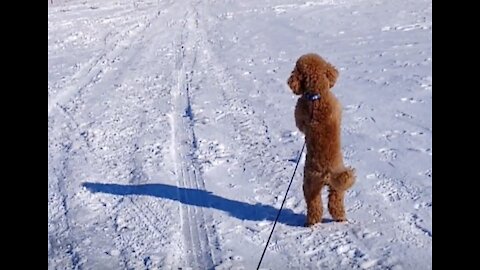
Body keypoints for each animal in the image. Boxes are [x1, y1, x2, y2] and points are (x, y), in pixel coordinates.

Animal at [286, 52, 354, 226]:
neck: (316, 96)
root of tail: (327, 172)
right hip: (326, 185)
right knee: (329, 203)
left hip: (313, 184)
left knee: (319, 204)